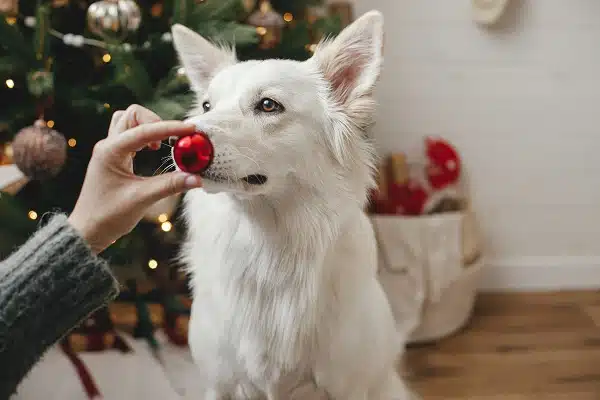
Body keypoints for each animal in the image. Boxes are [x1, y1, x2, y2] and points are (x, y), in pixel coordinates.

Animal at [169, 10, 412, 400]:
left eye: (268, 105)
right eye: (207, 105)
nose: (179, 143)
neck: (268, 242)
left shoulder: (347, 387)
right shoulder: (221, 385)